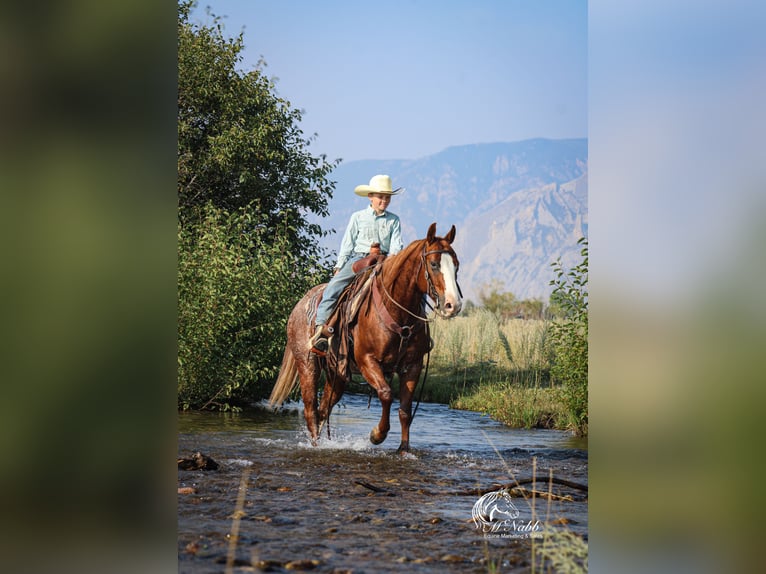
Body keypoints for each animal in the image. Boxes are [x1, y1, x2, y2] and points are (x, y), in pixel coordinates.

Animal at [268, 223, 462, 453]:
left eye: (457, 266)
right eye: (433, 264)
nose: (453, 305)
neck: (398, 311)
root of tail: (299, 306)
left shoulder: (413, 365)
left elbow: (405, 410)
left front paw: (404, 450)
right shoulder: (367, 361)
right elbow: (386, 394)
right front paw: (377, 434)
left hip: (337, 373)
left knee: (324, 409)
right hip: (307, 365)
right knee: (310, 410)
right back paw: (315, 445)